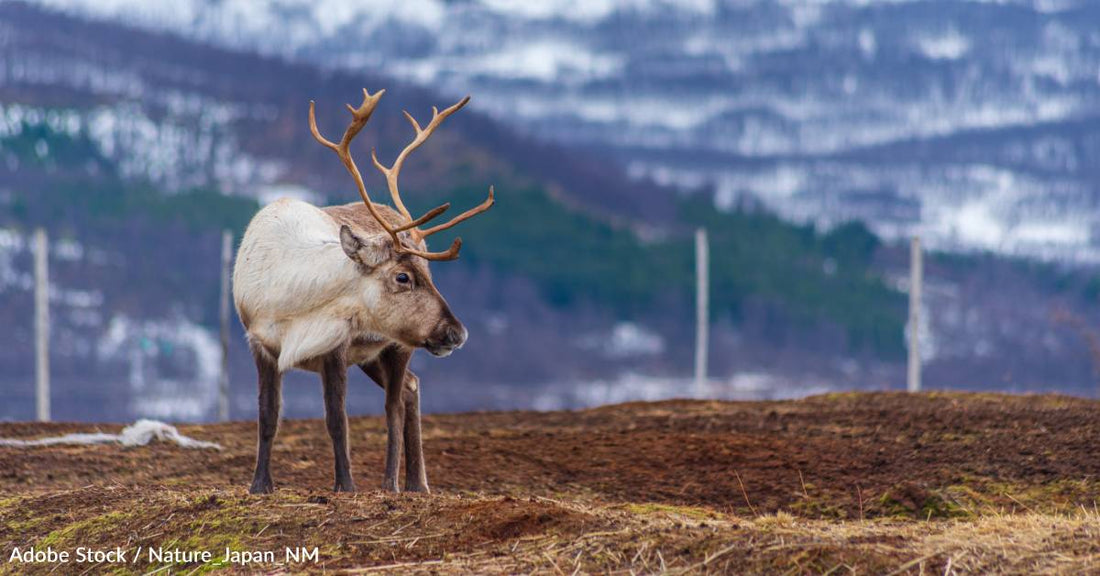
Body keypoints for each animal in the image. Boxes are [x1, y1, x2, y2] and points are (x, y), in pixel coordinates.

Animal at [232, 88, 493, 494]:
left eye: (426, 274)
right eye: (402, 277)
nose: (457, 332)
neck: (292, 301)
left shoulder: (335, 345)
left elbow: (337, 418)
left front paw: (345, 485)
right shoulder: (259, 342)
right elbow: (268, 414)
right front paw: (260, 484)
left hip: (399, 342)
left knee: (397, 402)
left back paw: (399, 484)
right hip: (376, 352)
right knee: (410, 388)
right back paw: (411, 482)